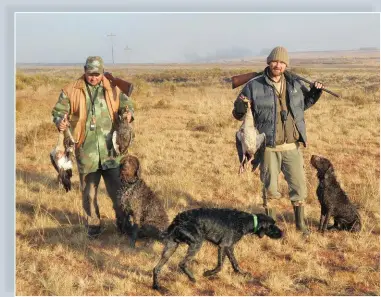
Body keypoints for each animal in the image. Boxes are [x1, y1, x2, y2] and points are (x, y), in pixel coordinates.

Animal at [152, 207, 282, 288]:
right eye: (272, 226)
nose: (282, 233)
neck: (245, 221)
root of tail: (178, 219)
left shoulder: (229, 247)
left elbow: (235, 263)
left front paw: (242, 273)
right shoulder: (223, 246)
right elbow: (220, 266)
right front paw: (208, 273)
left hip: (171, 247)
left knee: (156, 268)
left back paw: (156, 286)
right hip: (196, 243)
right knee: (182, 263)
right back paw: (193, 278)